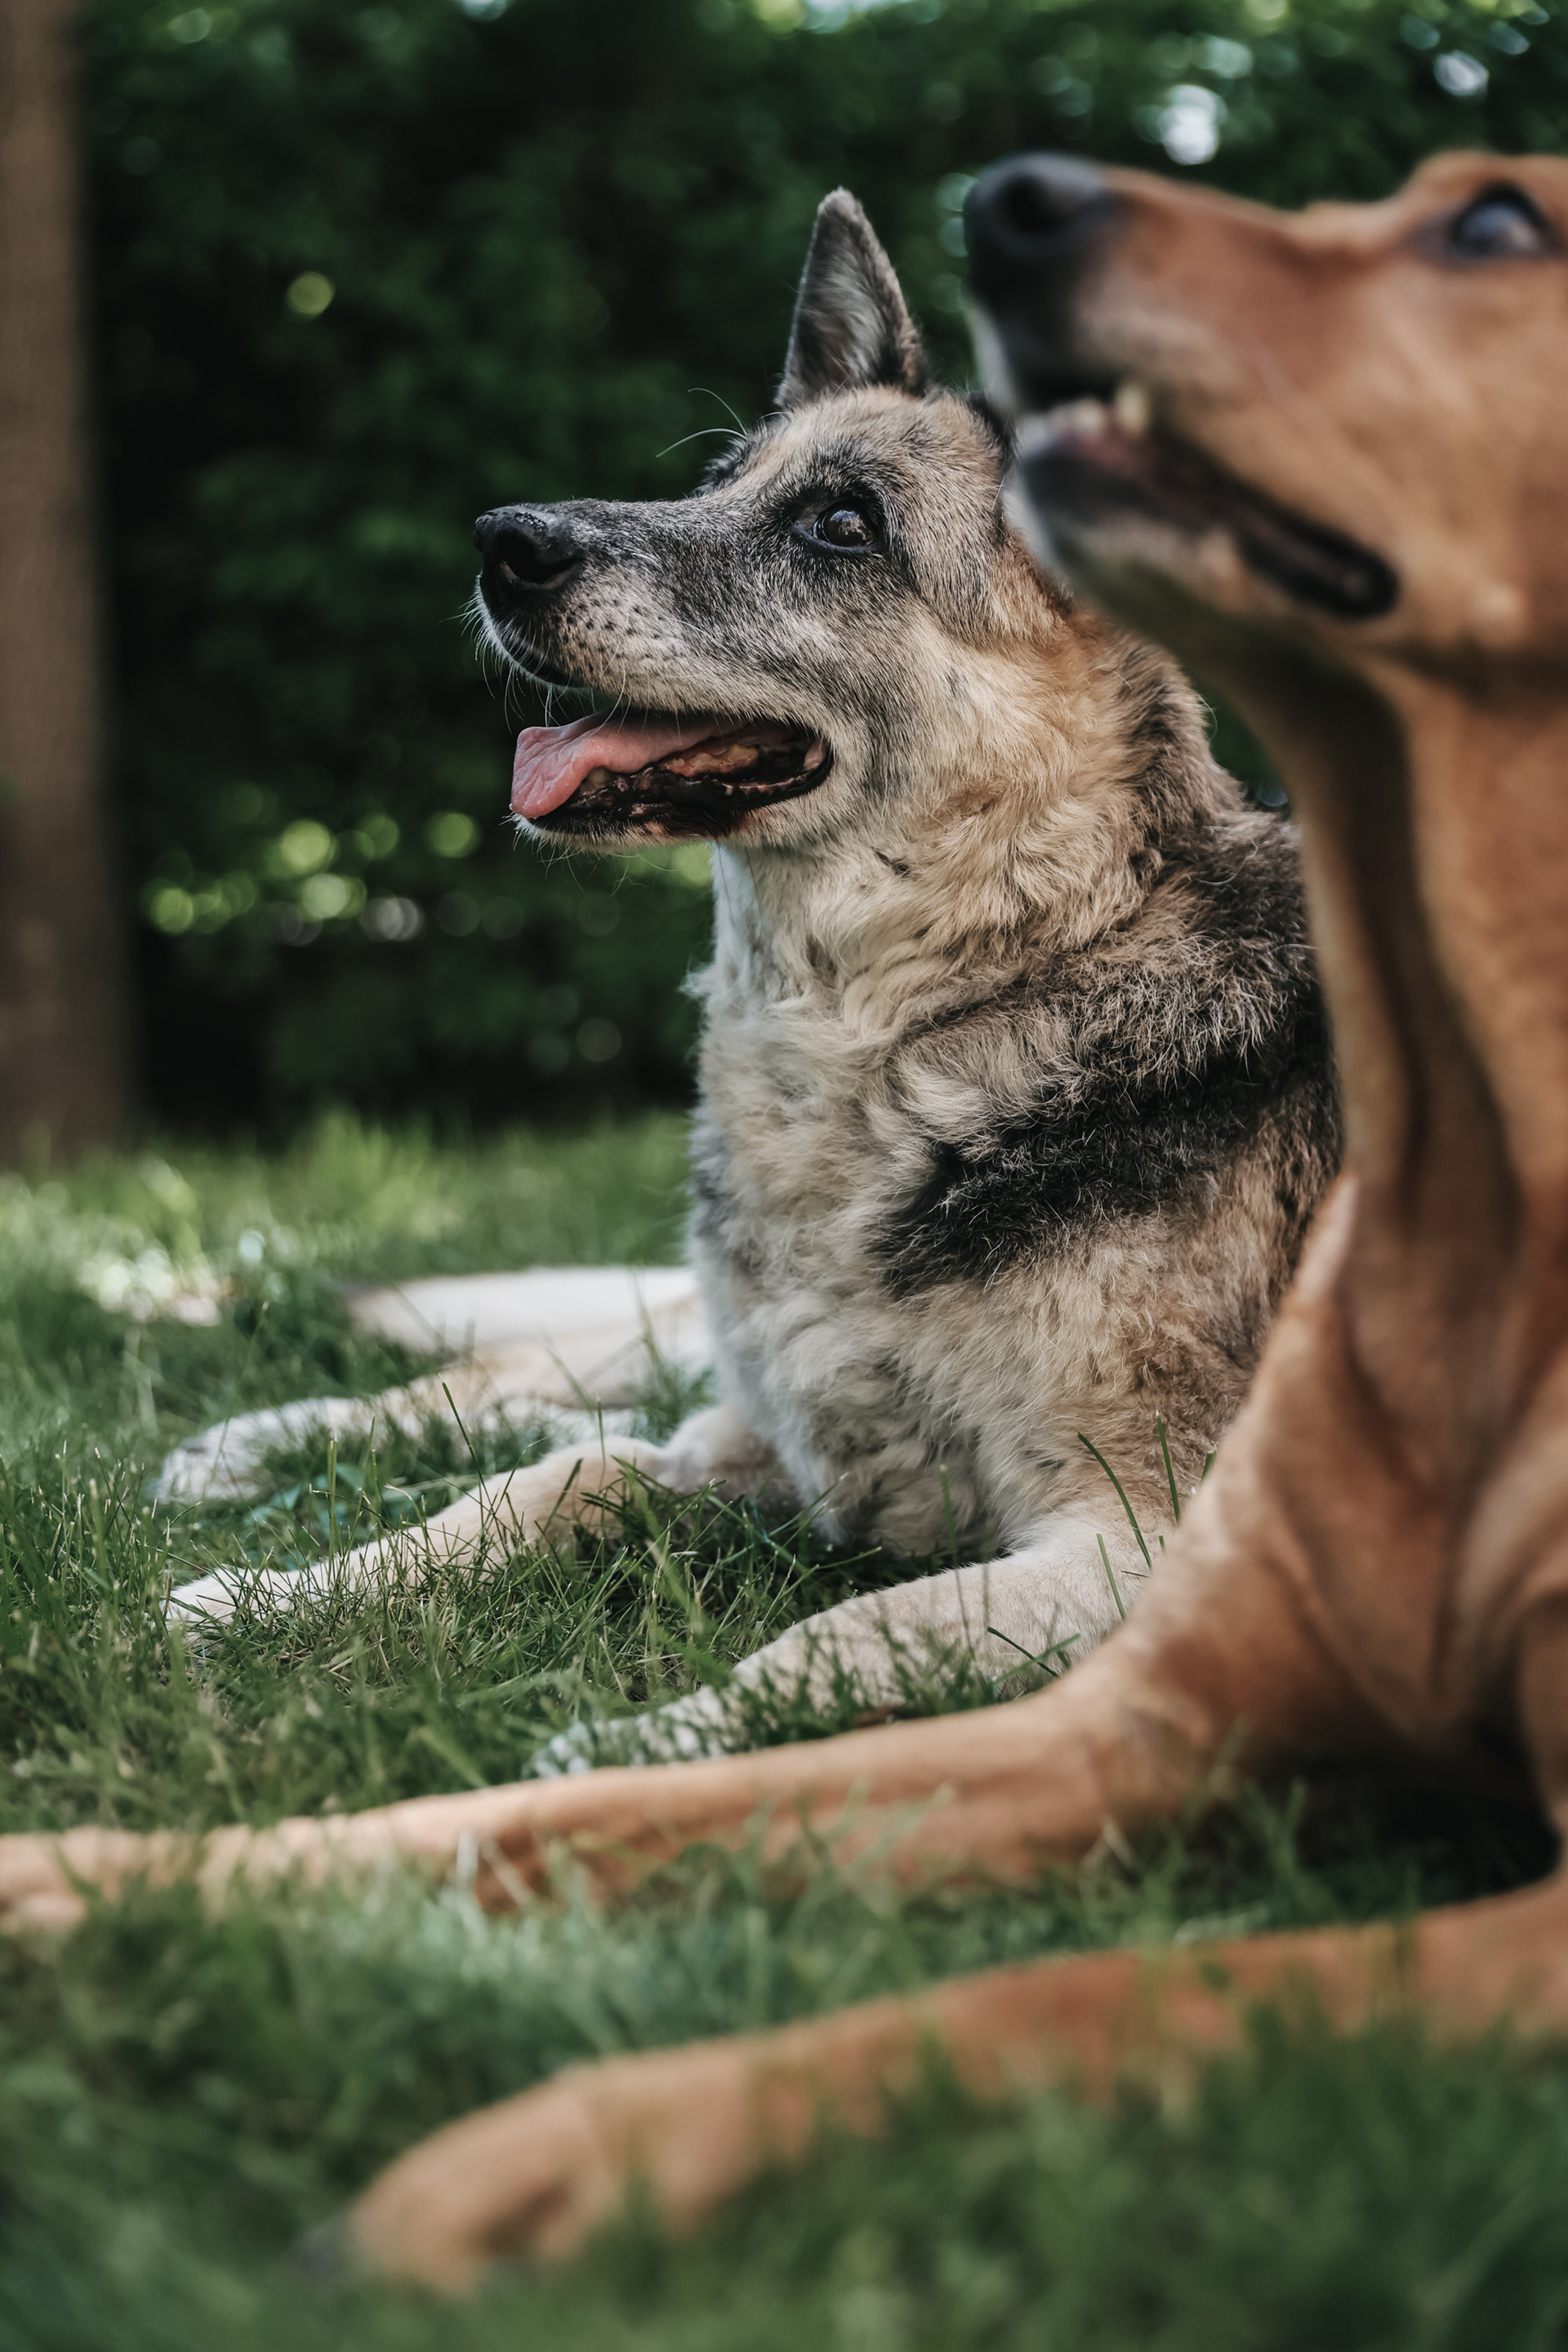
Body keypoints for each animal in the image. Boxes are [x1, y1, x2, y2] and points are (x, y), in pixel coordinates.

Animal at [157, 189, 1335, 1770]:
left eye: (842, 526)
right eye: (719, 483)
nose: (502, 543)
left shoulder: (1137, 1548)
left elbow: (850, 1628)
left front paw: (632, 1753)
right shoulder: (757, 1434)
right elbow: (552, 1480)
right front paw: (274, 1594)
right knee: (530, 1380)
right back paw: (258, 1442)